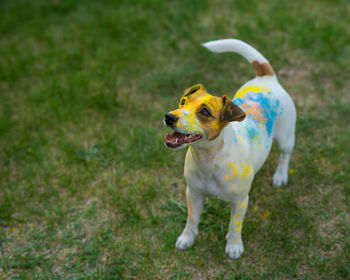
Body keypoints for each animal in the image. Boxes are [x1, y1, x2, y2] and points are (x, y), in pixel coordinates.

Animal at [164, 38, 296, 258]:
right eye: (182, 102)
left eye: (204, 112)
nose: (169, 117)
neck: (209, 159)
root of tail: (266, 77)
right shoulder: (193, 193)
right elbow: (191, 220)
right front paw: (187, 239)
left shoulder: (240, 201)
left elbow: (235, 225)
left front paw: (234, 246)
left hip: (286, 136)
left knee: (285, 155)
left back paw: (280, 176)